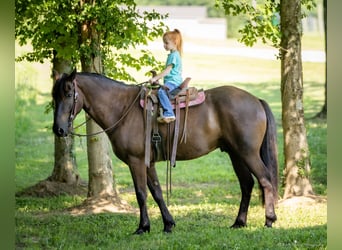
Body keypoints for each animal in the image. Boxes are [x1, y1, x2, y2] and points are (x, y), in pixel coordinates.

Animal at [52, 69, 278, 233]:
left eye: (69, 93)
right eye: (55, 96)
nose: (58, 129)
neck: (123, 109)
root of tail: (256, 100)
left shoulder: (136, 161)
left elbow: (141, 193)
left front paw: (143, 227)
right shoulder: (148, 162)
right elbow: (157, 192)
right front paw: (168, 224)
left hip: (248, 153)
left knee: (265, 180)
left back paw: (269, 219)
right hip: (236, 154)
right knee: (247, 184)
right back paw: (239, 222)